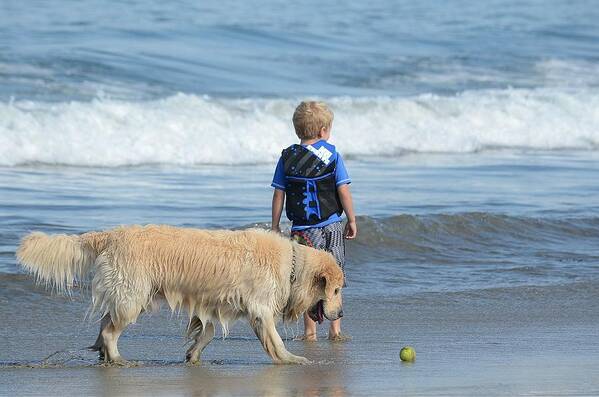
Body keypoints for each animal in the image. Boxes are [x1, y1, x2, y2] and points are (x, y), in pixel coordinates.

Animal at [16, 224, 344, 364]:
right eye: (336, 290)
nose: (340, 312)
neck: (292, 264)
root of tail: (112, 234)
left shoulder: (210, 302)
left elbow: (206, 331)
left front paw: (193, 355)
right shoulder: (260, 310)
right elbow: (274, 339)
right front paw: (291, 359)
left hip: (132, 294)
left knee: (105, 321)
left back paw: (102, 353)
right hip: (134, 295)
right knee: (110, 329)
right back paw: (118, 358)